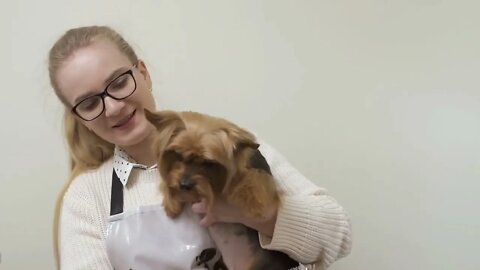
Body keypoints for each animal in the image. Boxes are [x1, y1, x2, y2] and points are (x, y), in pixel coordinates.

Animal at [144, 109, 298, 270]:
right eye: (178, 154)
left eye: (208, 163)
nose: (184, 185)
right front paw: (171, 203)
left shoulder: (254, 170)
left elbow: (256, 176)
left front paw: (256, 205)